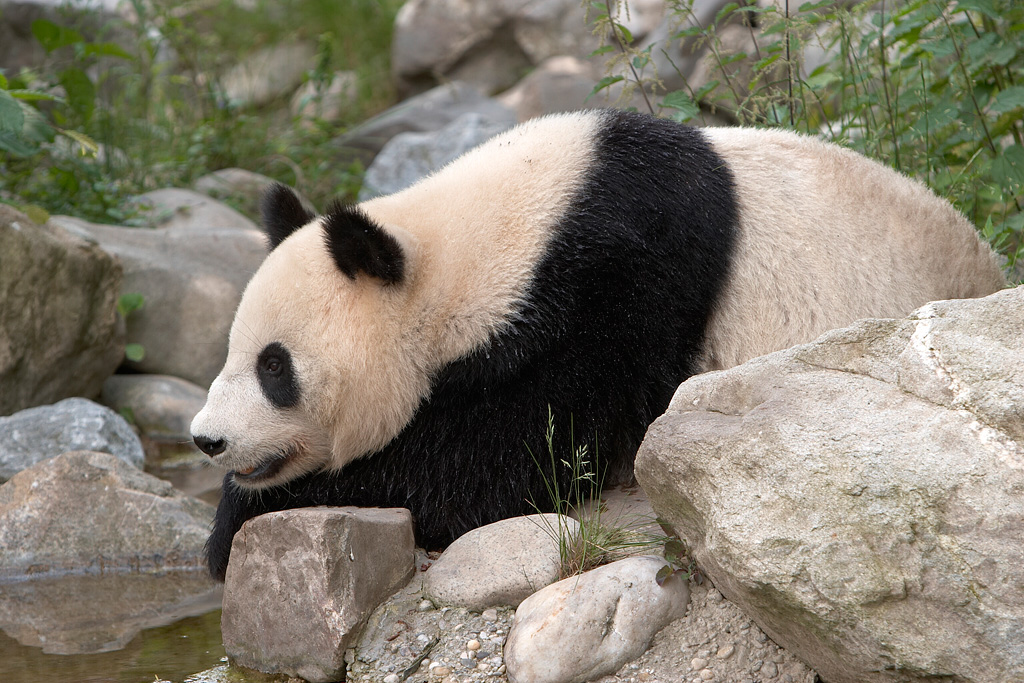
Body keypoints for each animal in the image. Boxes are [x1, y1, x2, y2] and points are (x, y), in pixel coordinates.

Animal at [191, 109, 1005, 581]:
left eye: (274, 367)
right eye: (230, 353)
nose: (206, 439)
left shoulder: (618, 280)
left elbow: (512, 459)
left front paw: (240, 519)